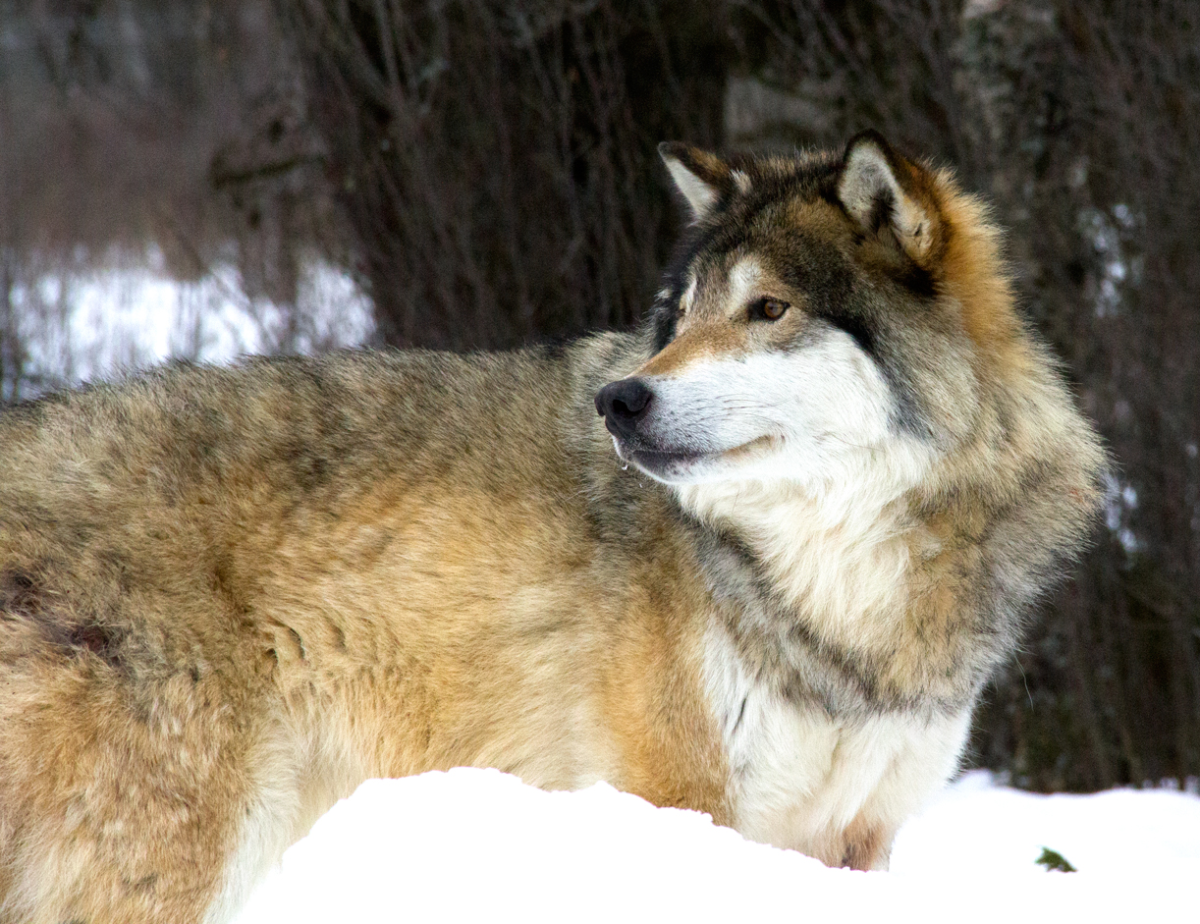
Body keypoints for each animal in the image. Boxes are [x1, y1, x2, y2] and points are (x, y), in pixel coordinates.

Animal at [0, 131, 1104, 922]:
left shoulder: (856, 841)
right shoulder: (677, 803)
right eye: (680, 316)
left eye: (768, 310)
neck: (831, 589)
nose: (621, 401)